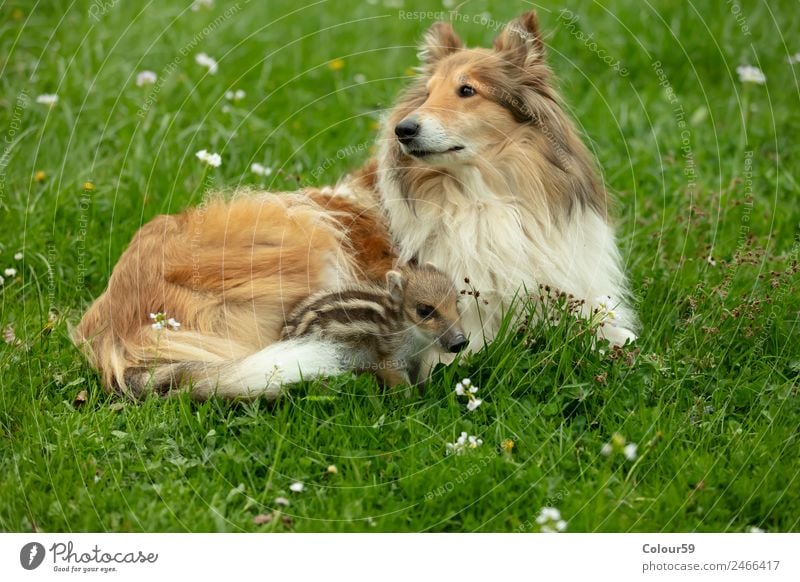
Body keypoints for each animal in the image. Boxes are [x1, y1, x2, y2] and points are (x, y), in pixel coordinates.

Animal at [75, 11, 636, 402]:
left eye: (467, 91)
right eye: (424, 94)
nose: (403, 130)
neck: (484, 194)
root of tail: (114, 323)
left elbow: (620, 336)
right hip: (305, 234)